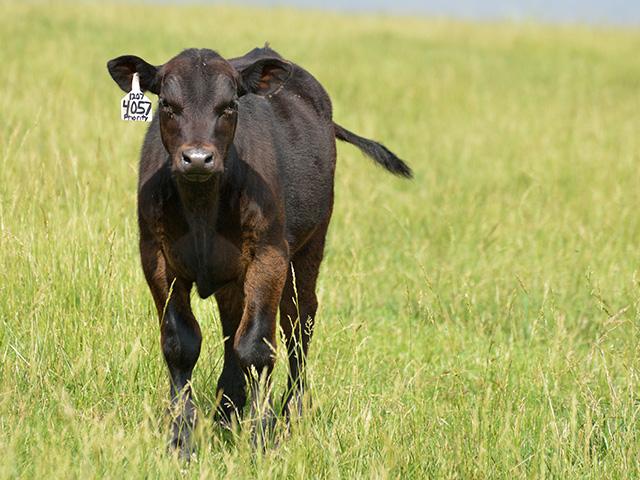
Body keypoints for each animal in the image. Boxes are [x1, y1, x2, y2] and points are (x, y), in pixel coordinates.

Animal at [107, 45, 411, 455]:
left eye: (230, 104)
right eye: (168, 104)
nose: (198, 158)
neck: (203, 208)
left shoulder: (270, 256)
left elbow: (256, 346)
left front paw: (261, 437)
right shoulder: (155, 257)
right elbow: (180, 343)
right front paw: (181, 437)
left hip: (309, 249)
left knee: (298, 322)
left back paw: (292, 410)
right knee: (233, 324)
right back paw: (227, 409)